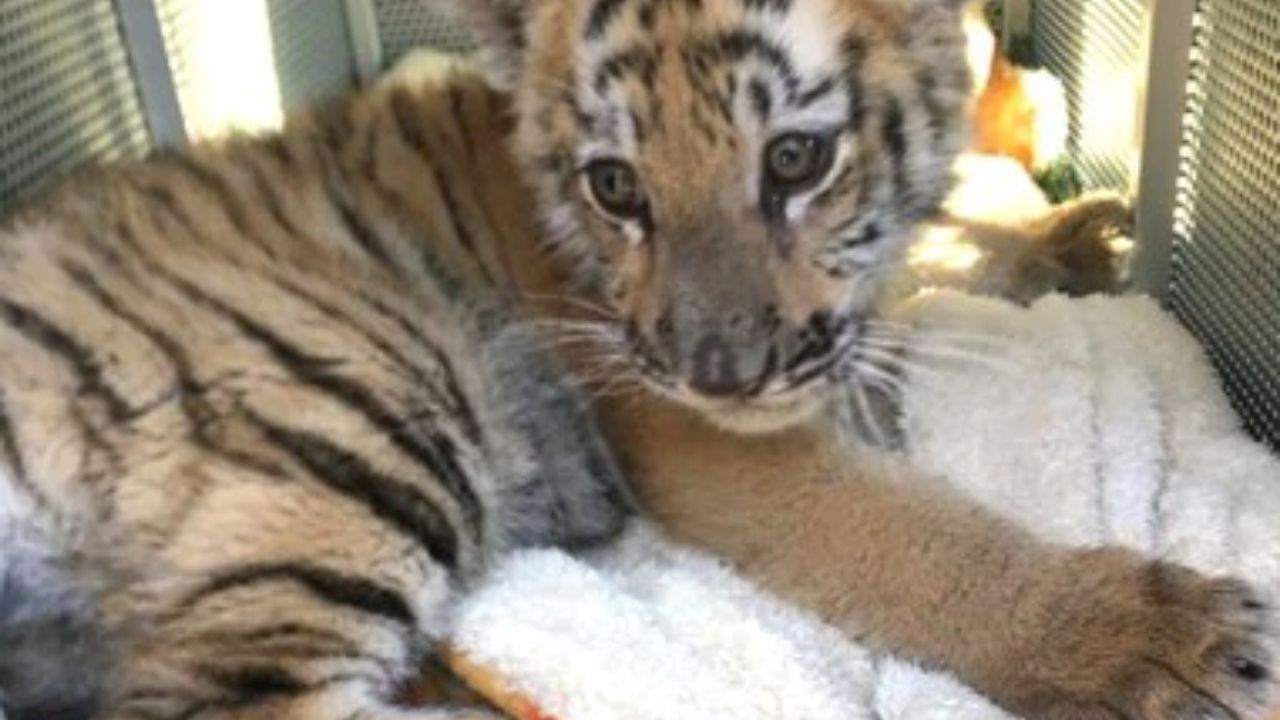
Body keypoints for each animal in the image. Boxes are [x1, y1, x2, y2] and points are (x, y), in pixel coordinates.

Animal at [0, 4, 1272, 720]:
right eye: (618, 188)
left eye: (796, 156)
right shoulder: (717, 432)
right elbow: (909, 537)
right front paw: (1153, 643)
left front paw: (1074, 238)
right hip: (356, 420)